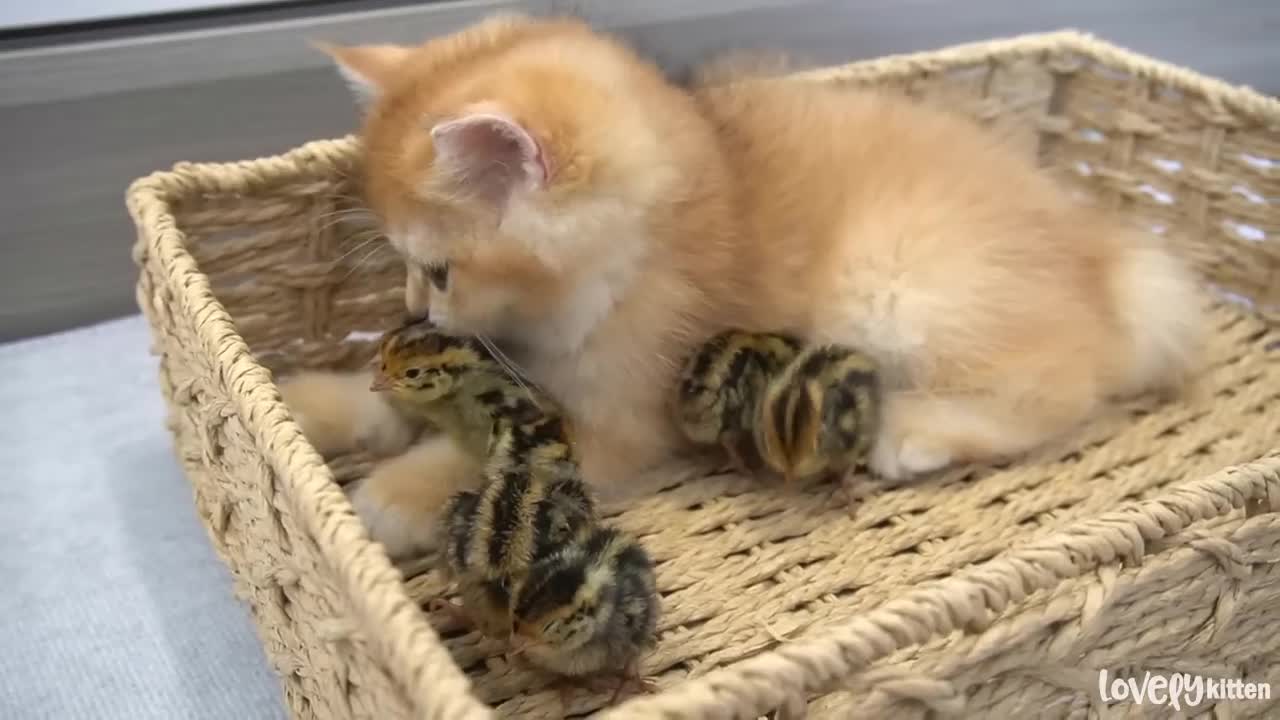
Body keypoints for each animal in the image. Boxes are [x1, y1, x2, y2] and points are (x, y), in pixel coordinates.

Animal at [282, 15, 1208, 556]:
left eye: (438, 270)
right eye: (409, 270)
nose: (414, 307)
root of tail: (1097, 247)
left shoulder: (615, 419)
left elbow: (488, 452)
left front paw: (396, 492)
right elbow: (395, 399)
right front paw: (315, 402)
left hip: (893, 286)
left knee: (1063, 384)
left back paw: (914, 429)